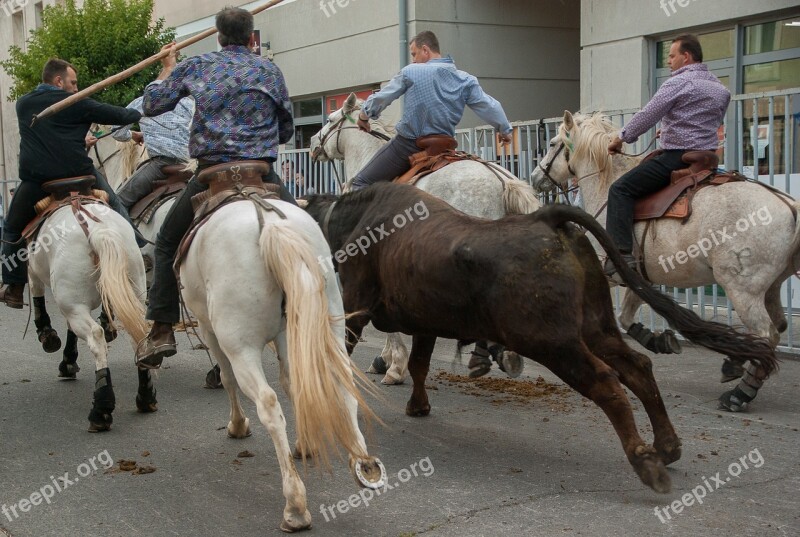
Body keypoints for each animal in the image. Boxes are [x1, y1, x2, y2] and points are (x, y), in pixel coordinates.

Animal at [27, 198, 152, 432]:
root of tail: (98, 230)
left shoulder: (33, 270)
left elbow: (37, 294)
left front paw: (48, 337)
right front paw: (68, 361)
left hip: (73, 304)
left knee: (96, 337)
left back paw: (101, 409)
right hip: (133, 291)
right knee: (138, 336)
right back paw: (146, 396)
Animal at [177, 195, 388, 528]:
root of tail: (271, 224)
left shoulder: (208, 329)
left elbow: (226, 378)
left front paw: (238, 424)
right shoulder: (288, 335)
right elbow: (295, 385)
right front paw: (305, 444)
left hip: (241, 347)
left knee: (268, 404)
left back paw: (295, 505)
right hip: (328, 322)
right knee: (343, 386)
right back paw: (363, 463)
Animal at [302, 185, 776, 494]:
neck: (355, 220)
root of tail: (544, 218)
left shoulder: (355, 308)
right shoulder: (425, 323)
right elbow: (419, 364)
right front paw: (418, 406)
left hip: (554, 343)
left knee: (608, 384)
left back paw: (646, 462)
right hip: (595, 329)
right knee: (638, 369)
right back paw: (668, 446)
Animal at [532, 110, 800, 410]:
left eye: (552, 143)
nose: (535, 177)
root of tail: (788, 205)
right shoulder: (640, 278)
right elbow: (626, 317)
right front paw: (657, 341)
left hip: (742, 289)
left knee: (766, 334)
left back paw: (739, 392)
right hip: (771, 287)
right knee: (776, 328)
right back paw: (737, 366)